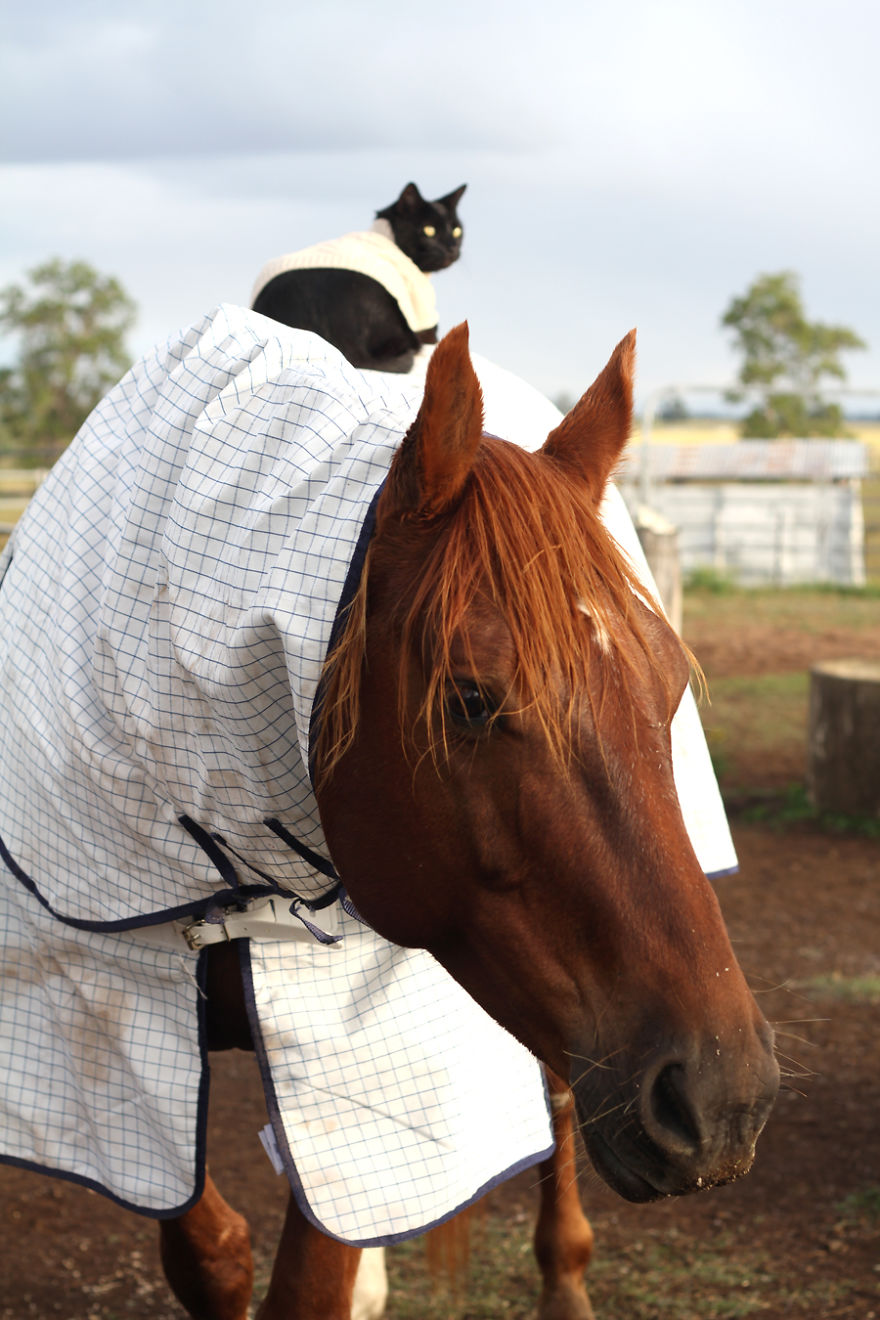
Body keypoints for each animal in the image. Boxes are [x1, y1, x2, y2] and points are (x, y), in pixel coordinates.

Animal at [0, 313, 779, 1319]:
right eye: (471, 699)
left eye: (672, 683)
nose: (726, 1094)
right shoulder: (104, 1015)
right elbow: (209, 1252)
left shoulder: (359, 1063)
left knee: (562, 1105)